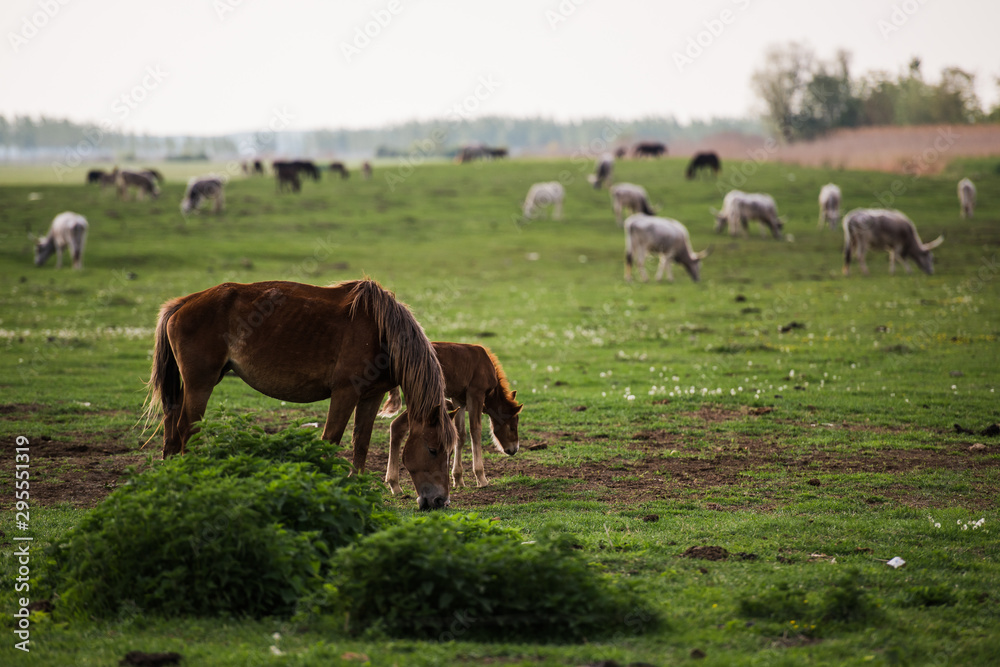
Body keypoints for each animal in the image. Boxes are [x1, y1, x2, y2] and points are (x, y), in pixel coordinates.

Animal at [146, 280, 458, 508]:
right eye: (433, 449)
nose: (440, 501)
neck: (381, 332)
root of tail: (183, 303)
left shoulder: (372, 396)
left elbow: (361, 443)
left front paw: (357, 486)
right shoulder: (345, 393)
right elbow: (331, 440)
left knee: (172, 426)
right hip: (201, 384)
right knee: (187, 429)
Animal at [378, 342, 524, 494]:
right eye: (512, 427)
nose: (514, 449)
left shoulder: (459, 399)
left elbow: (460, 434)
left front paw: (458, 479)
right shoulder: (475, 394)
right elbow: (475, 431)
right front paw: (481, 477)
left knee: (396, 426)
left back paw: (394, 483)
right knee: (399, 425)